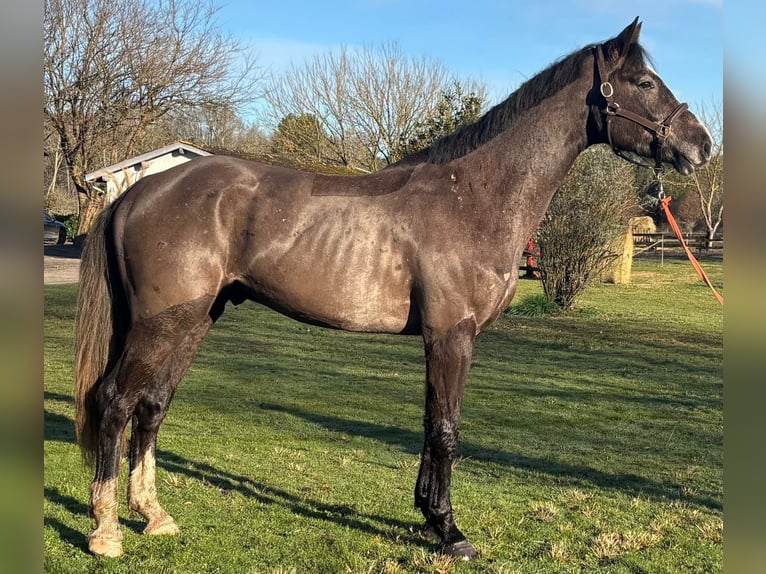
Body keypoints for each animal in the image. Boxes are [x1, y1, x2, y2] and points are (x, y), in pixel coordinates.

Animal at [74, 18, 712, 559]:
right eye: (645, 82)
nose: (701, 145)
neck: (474, 196)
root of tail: (138, 191)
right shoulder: (451, 335)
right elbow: (446, 430)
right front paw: (451, 532)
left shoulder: (442, 339)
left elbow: (432, 426)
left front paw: (429, 517)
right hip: (160, 324)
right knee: (115, 401)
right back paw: (106, 531)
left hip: (193, 320)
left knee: (152, 406)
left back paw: (154, 516)